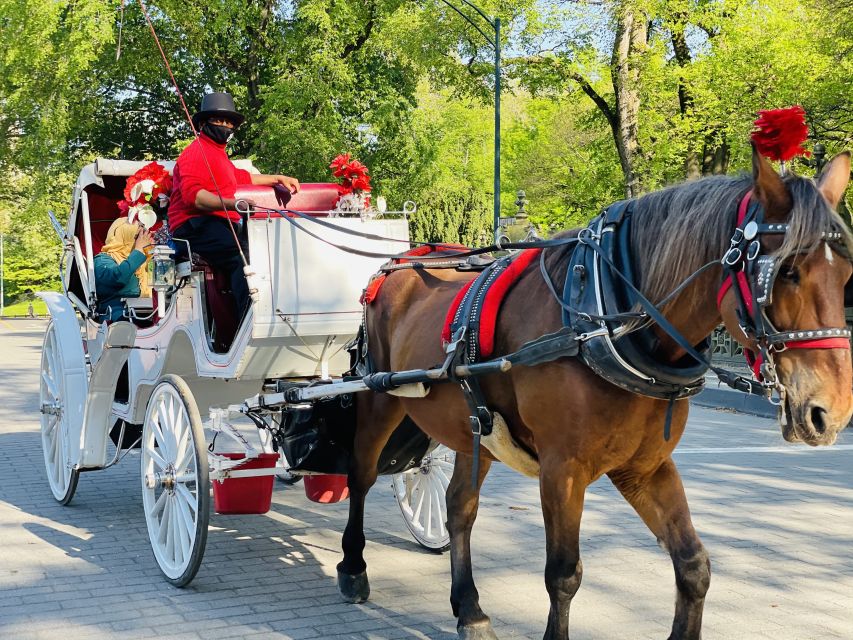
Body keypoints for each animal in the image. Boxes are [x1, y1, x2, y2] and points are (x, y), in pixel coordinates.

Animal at [336, 146, 848, 640]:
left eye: (845, 273)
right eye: (786, 271)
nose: (833, 412)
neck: (606, 321)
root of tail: (404, 261)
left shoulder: (646, 467)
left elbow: (693, 564)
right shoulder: (562, 469)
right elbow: (563, 576)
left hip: (475, 429)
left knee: (459, 506)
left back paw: (470, 609)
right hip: (379, 401)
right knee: (361, 476)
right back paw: (353, 566)